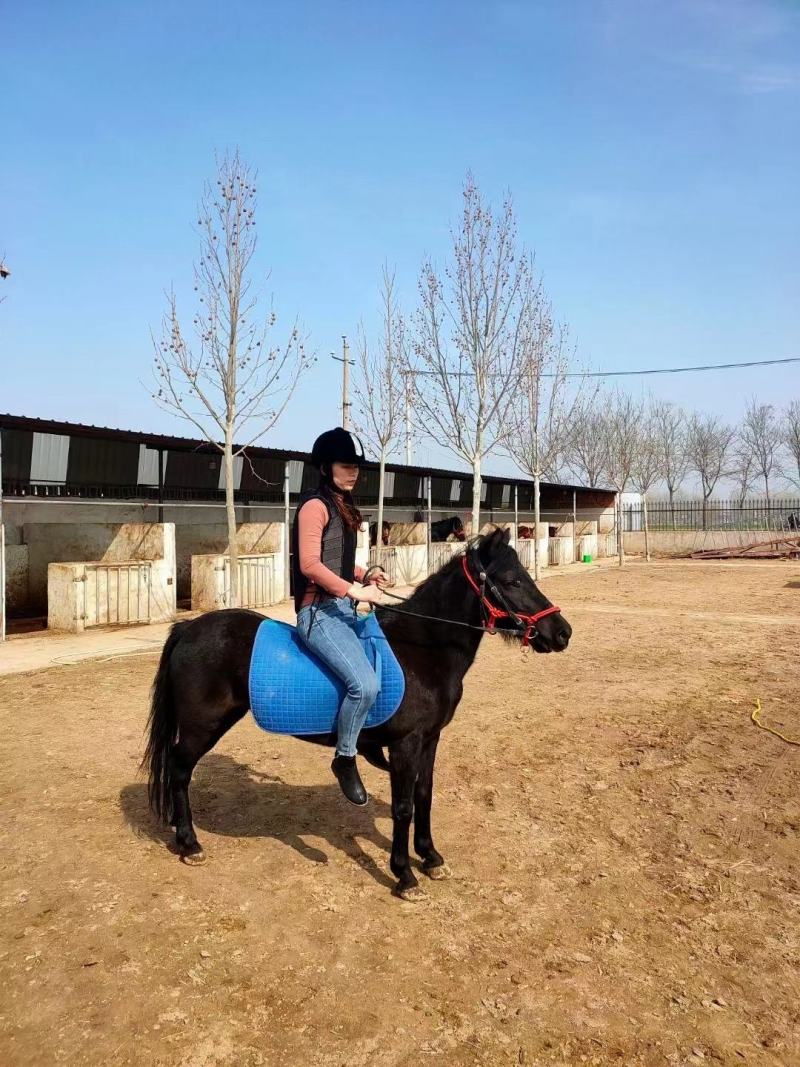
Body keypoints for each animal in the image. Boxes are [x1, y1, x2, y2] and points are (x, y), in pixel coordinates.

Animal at [142, 528, 572, 900]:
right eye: (512, 580)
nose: (562, 632)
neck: (422, 649)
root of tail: (188, 628)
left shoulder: (430, 740)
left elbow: (424, 795)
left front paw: (431, 857)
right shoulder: (405, 745)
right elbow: (403, 807)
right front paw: (404, 875)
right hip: (203, 726)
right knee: (179, 771)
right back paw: (189, 843)